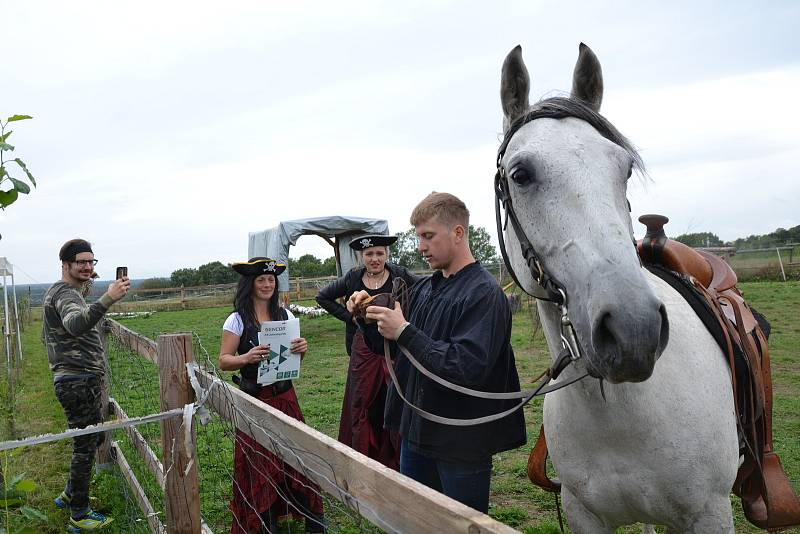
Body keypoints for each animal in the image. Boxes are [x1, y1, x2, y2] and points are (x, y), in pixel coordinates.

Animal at [496, 43, 740, 534]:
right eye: (520, 174)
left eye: (625, 169)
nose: (633, 330)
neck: (621, 413)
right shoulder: (583, 514)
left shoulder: (711, 513)